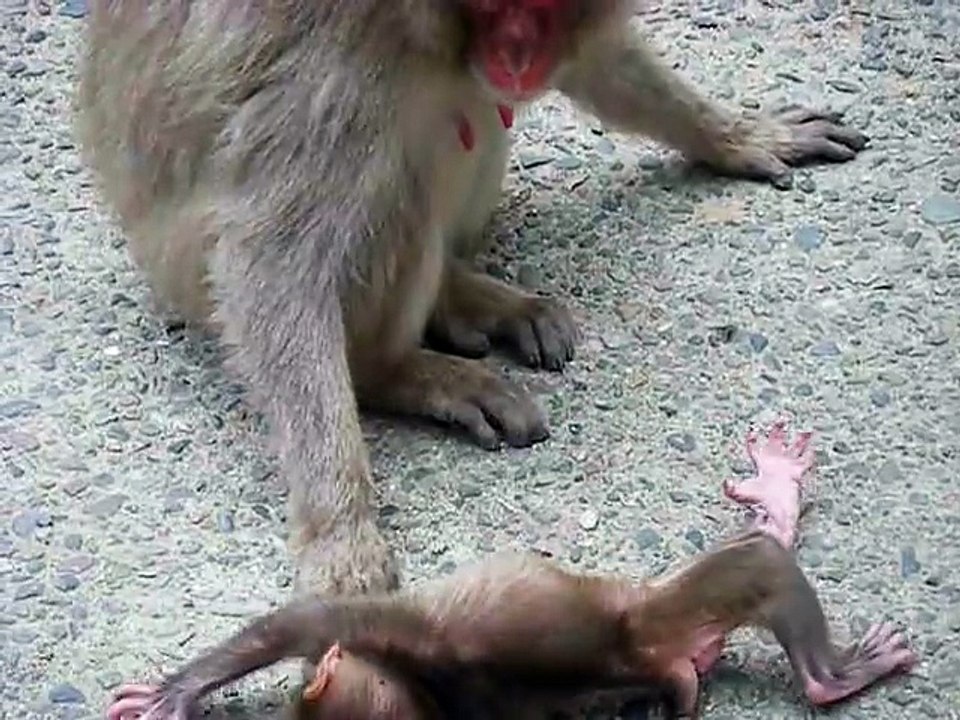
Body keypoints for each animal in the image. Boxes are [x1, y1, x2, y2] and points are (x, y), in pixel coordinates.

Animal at [75, 0, 870, 601]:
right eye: (493, 8)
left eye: (543, 9)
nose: (518, 56)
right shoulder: (335, 66)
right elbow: (271, 263)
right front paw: (340, 534)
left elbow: (599, 62)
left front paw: (732, 133)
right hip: (187, 266)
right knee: (396, 170)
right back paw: (396, 369)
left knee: (473, 111)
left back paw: (468, 296)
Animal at [104, 420, 917, 720]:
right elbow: (306, 622)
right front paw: (181, 690)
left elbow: (299, 625)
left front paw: (176, 692)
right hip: (666, 609)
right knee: (764, 561)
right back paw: (834, 667)